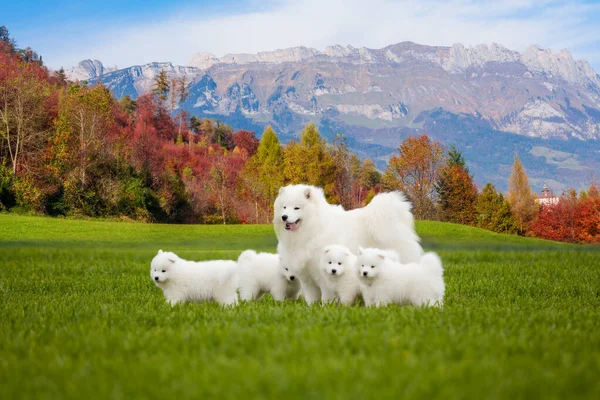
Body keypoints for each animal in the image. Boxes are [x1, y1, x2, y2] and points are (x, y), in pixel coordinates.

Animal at [274, 184, 422, 304]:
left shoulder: (324, 273)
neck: (313, 228)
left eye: (297, 208)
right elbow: (311, 297)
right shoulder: (306, 275)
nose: (284, 217)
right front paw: (311, 308)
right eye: (284, 207)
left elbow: (326, 296)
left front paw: (326, 307)